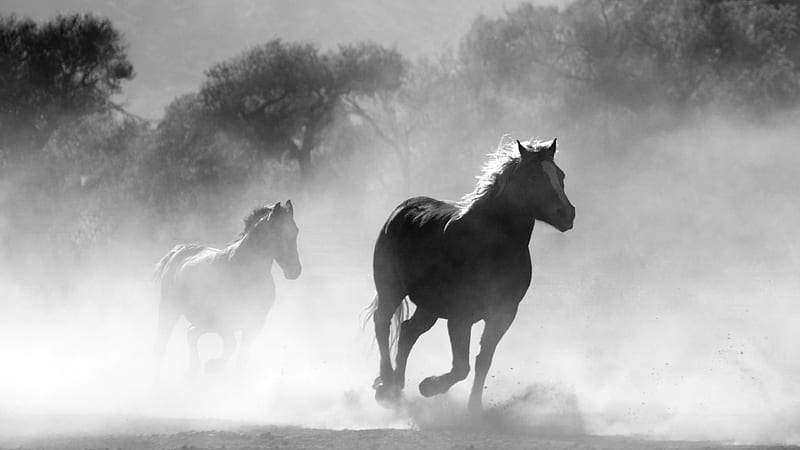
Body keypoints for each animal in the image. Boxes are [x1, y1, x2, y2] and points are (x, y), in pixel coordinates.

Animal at [152, 201, 298, 380]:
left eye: (296, 231)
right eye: (278, 233)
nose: (295, 270)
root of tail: (178, 252)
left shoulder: (254, 324)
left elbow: (242, 358)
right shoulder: (223, 321)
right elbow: (232, 345)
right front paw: (213, 366)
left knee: (191, 334)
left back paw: (194, 370)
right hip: (170, 310)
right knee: (162, 344)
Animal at [368, 136, 576, 412]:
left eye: (560, 175)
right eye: (533, 177)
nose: (567, 213)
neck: (491, 247)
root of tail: (401, 210)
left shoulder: (503, 314)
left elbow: (483, 361)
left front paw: (474, 408)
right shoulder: (460, 317)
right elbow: (461, 367)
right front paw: (429, 386)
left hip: (429, 306)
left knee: (408, 331)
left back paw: (397, 386)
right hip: (390, 289)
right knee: (382, 324)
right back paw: (386, 385)